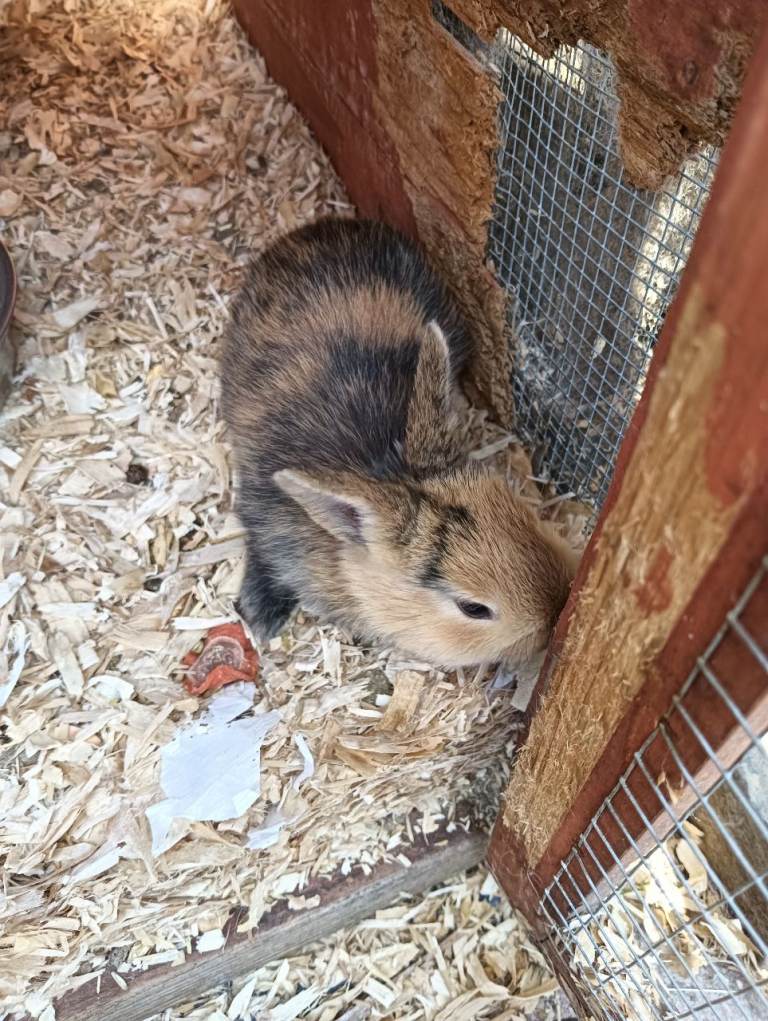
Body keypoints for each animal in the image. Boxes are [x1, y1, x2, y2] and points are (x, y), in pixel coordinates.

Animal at [220, 217, 577, 669]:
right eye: (473, 608)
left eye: (523, 514)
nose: (555, 609)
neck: (388, 469)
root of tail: (321, 227)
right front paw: (260, 618)